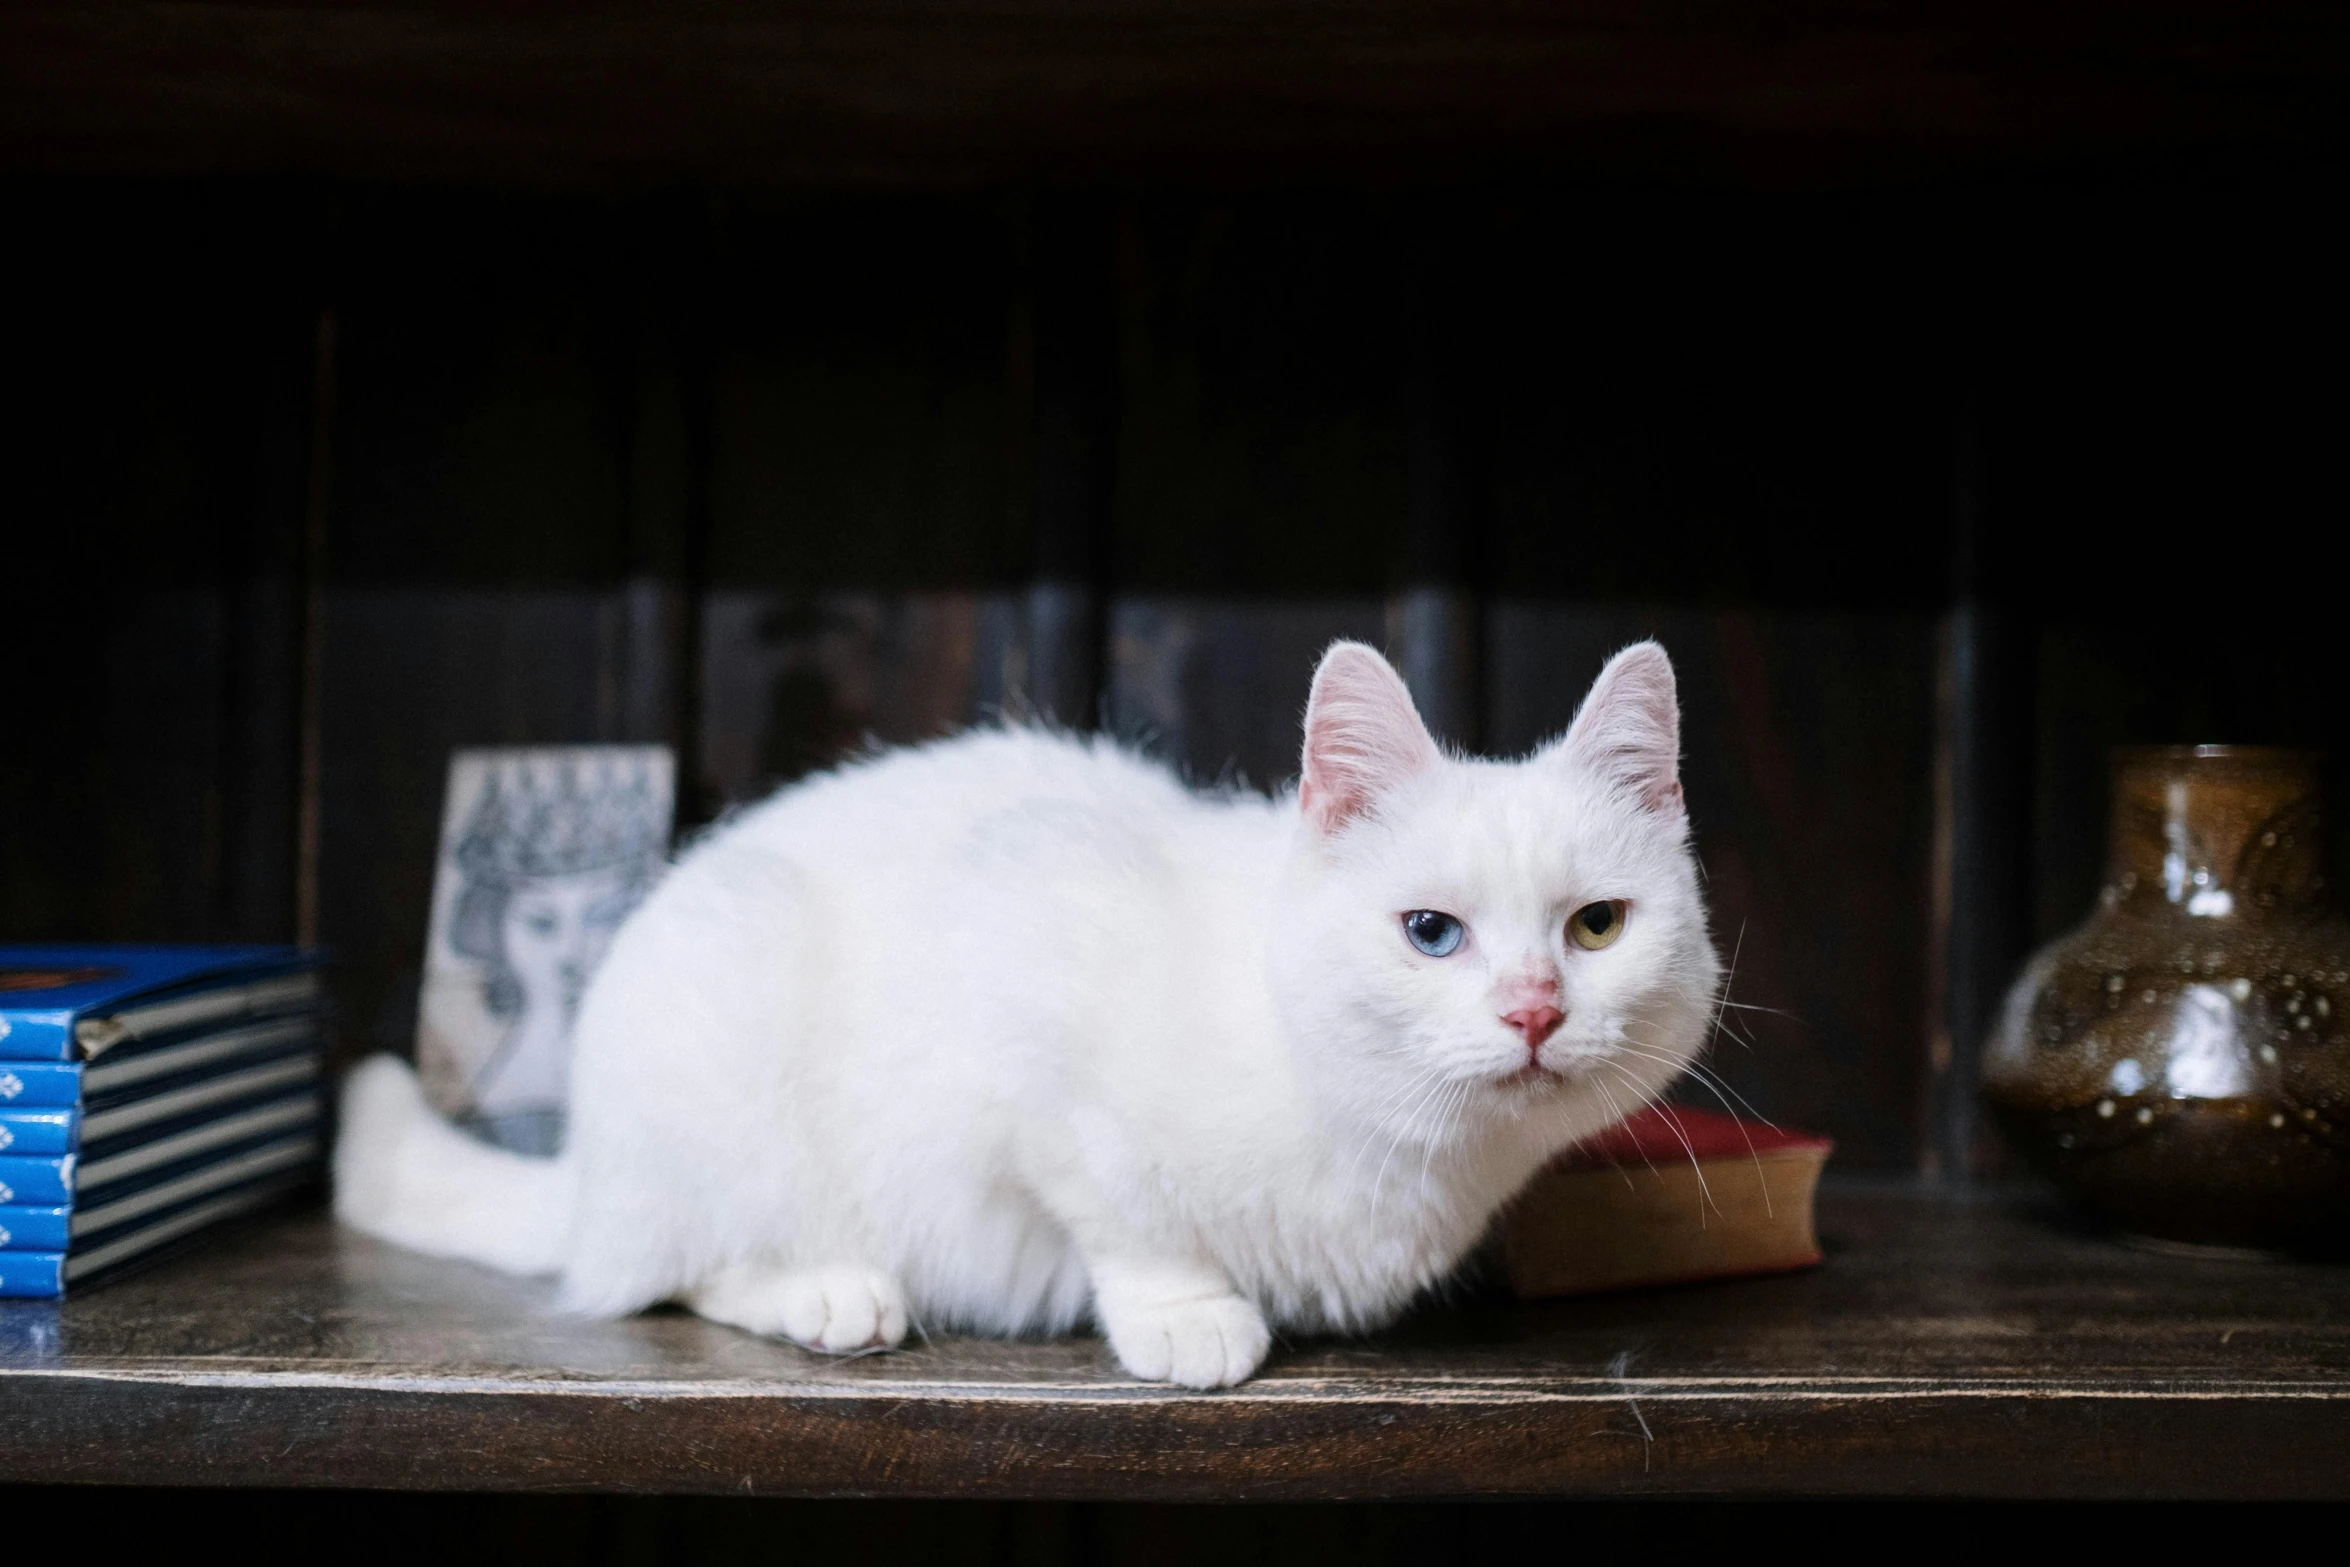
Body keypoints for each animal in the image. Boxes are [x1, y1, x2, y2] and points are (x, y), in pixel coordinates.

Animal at [331, 639, 1720, 1381]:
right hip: (729, 1020)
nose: (1534, 1009)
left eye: (1596, 927)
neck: (1404, 1154)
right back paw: (828, 1290)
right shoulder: (1023, 976)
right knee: (664, 1268)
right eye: (1430, 932)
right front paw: (1186, 1312)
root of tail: (585, 1166)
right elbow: (1115, 1201)